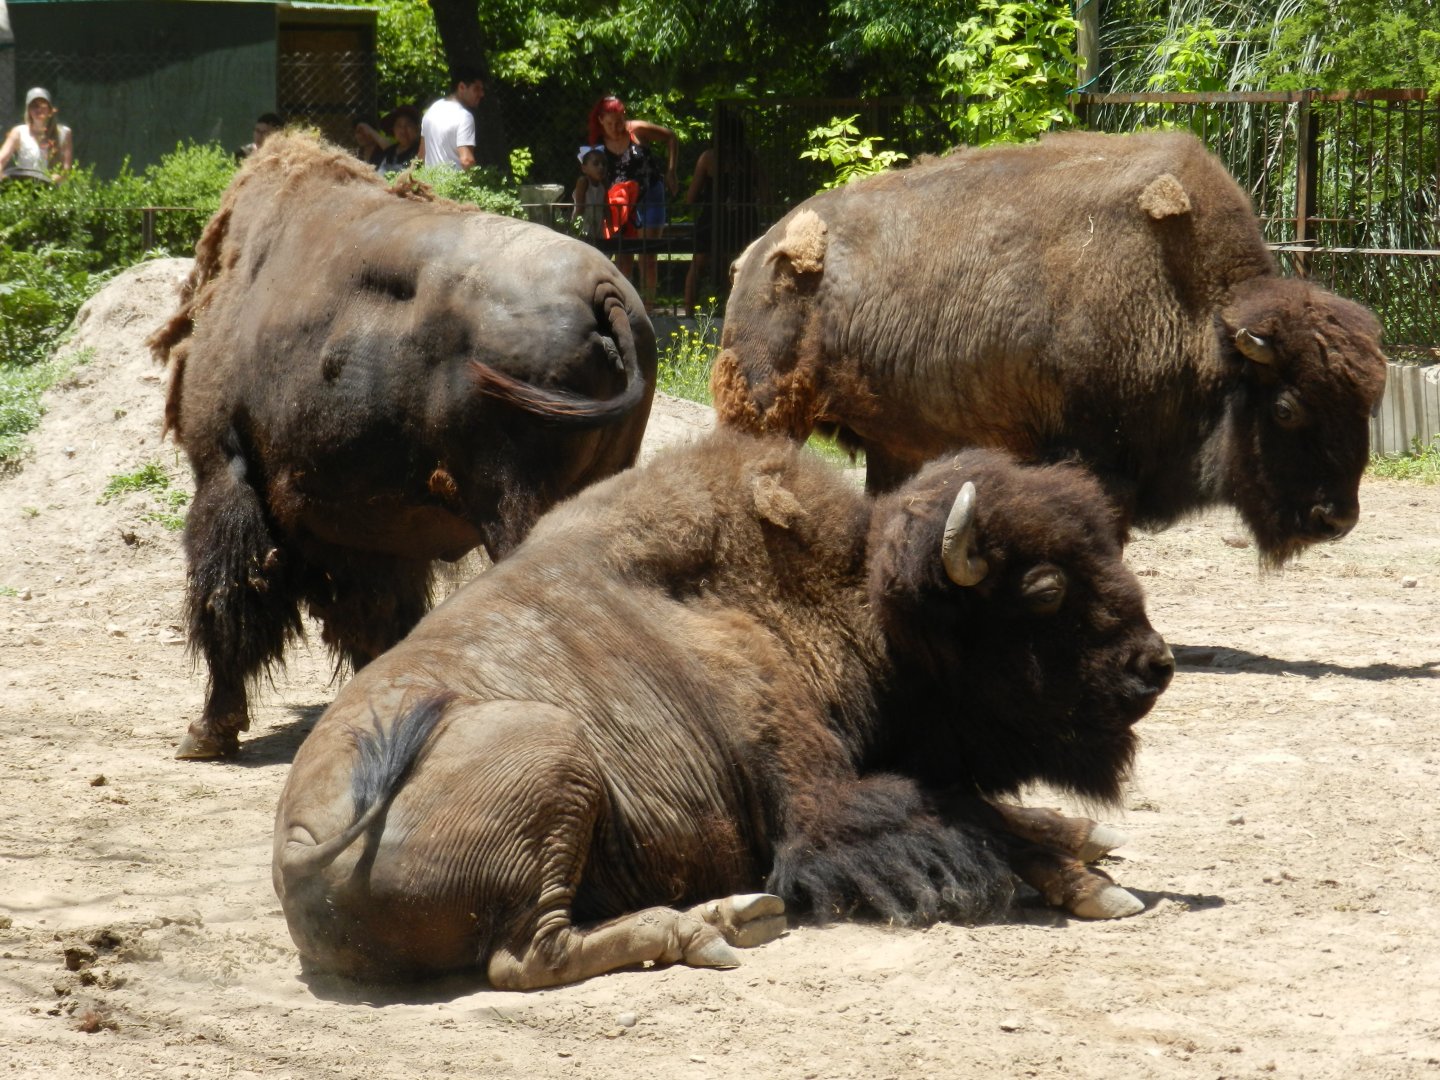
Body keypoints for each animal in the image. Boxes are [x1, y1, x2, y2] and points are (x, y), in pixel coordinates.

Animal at [274, 431, 1174, 988]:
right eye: (1045, 591)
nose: (1155, 667)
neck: (851, 602)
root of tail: (300, 845)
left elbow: (986, 808)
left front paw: (1087, 839)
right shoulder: (820, 799)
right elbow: (962, 820)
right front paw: (1094, 886)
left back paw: (737, 916)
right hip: (557, 756)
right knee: (527, 955)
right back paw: (713, 926)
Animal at [710, 129, 1387, 566]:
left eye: (1367, 408)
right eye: (1287, 408)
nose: (1338, 519)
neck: (1201, 316)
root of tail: (759, 249)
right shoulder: (1094, 456)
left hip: (895, 444)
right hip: (769, 409)